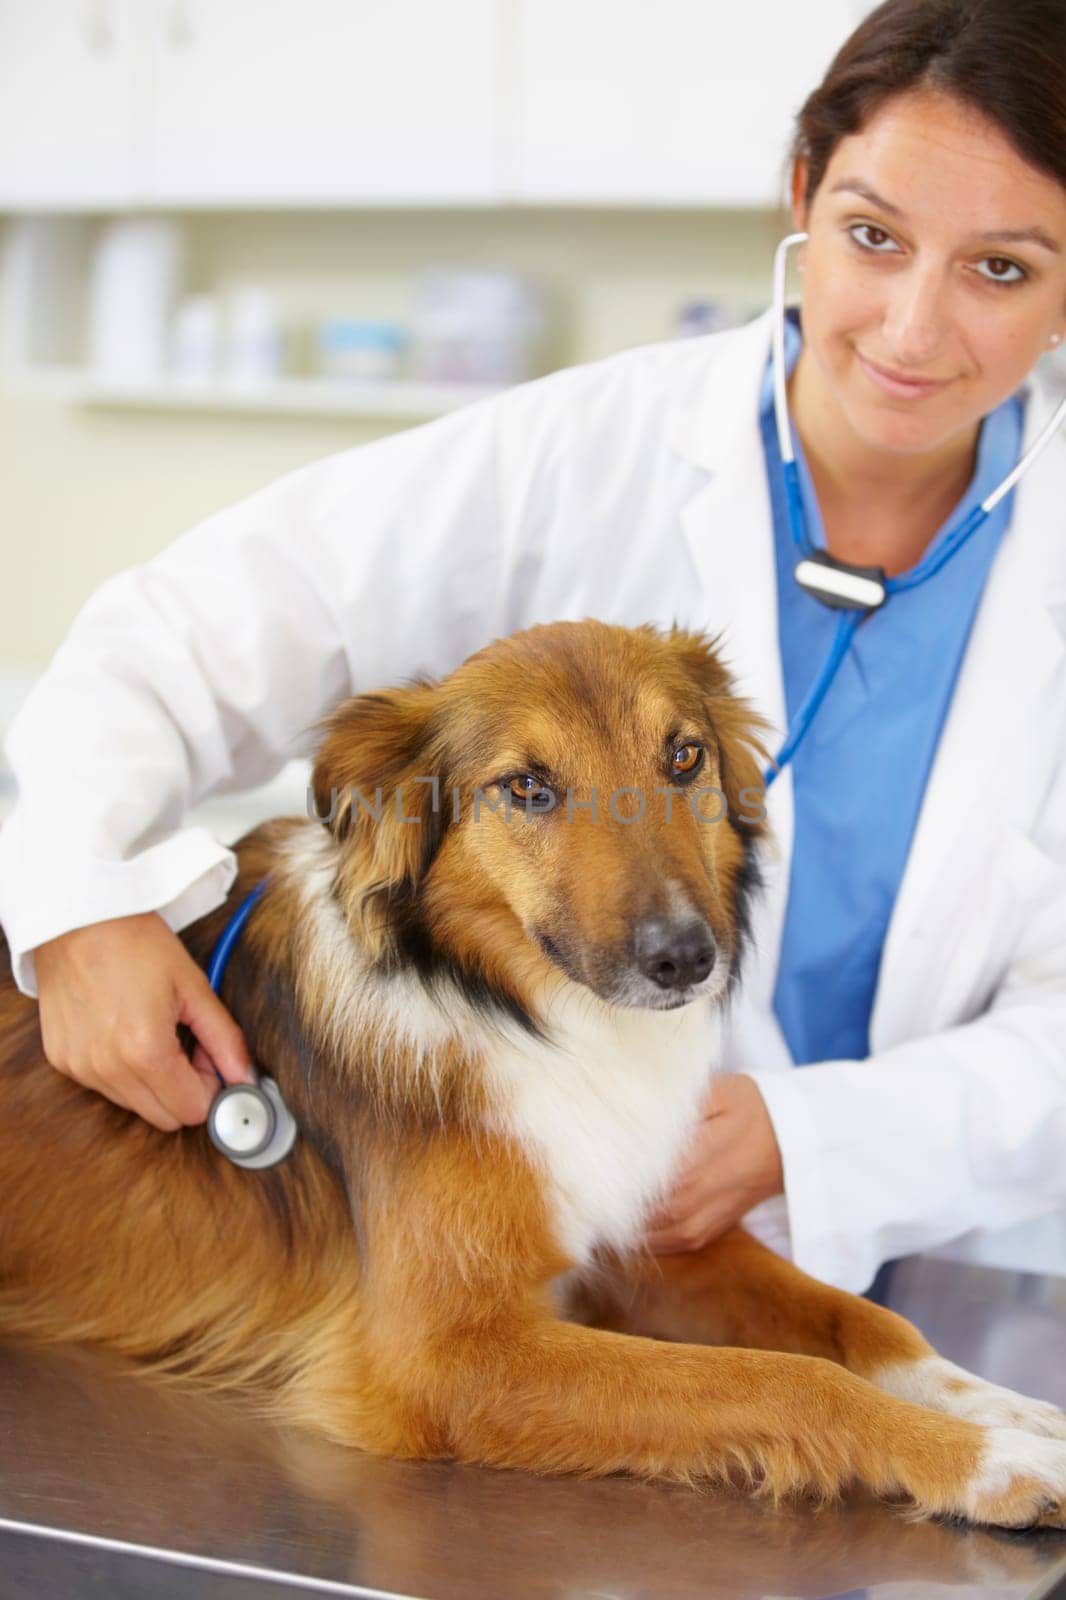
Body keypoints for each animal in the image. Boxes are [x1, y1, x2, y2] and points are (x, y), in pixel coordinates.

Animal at [2, 617, 1062, 1529]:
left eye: (685, 757)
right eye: (526, 788)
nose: (688, 958)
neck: (523, 1012)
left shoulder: (641, 1236)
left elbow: (863, 1323)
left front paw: (1012, 1412)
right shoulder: (445, 1355)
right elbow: (784, 1376)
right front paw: (987, 1462)